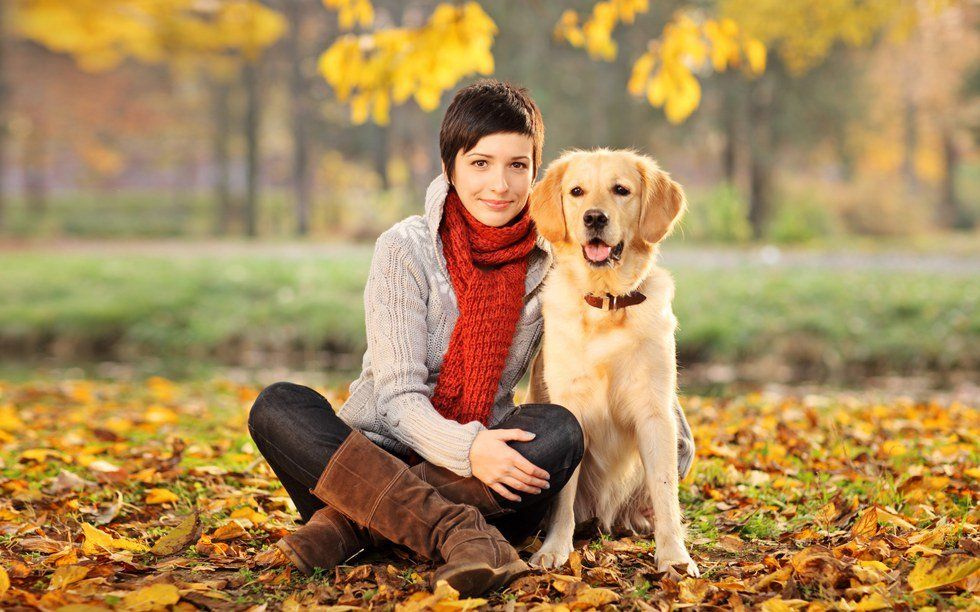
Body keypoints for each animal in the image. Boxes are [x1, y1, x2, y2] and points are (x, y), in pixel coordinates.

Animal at [528, 149, 696, 580]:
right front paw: (554, 549)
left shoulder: (656, 411)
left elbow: (666, 490)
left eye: (621, 190)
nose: (594, 218)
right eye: (577, 191)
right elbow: (564, 498)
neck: (606, 304)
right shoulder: (569, 406)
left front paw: (674, 555)